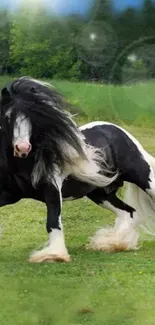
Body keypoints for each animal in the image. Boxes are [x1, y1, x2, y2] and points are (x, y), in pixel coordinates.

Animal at [0, 77, 155, 262]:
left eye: (34, 118)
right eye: (7, 116)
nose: (22, 148)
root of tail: (117, 130)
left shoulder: (52, 189)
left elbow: (53, 222)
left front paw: (55, 255)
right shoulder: (8, 194)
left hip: (143, 178)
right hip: (101, 194)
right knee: (129, 212)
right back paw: (113, 243)